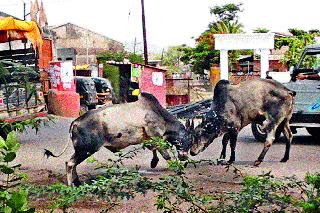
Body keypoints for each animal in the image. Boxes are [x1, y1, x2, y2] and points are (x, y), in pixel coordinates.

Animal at [44, 92, 190, 186]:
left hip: (81, 150)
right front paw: (176, 167)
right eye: (188, 139)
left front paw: (154, 162)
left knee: (71, 163)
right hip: (86, 150)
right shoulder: (156, 135)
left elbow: (154, 150)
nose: (185, 157)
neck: (159, 114)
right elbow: (166, 154)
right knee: (70, 163)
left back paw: (77, 182)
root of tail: (75, 122)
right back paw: (71, 185)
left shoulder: (149, 139)